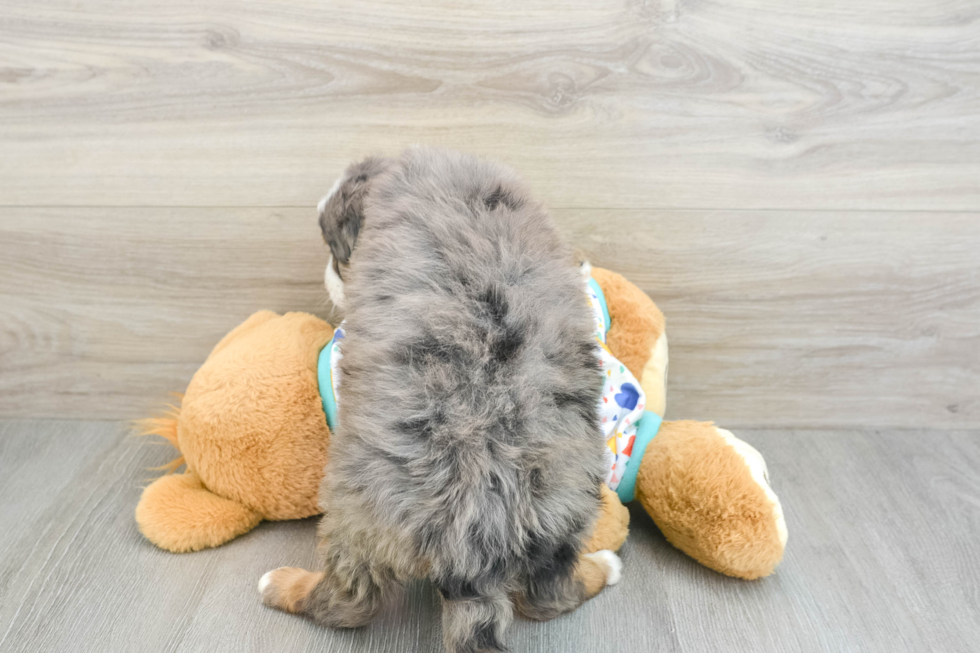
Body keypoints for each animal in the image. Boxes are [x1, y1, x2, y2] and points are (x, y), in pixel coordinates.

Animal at [260, 148, 620, 652]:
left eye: (336, 248)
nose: (329, 278)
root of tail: (477, 541)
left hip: (356, 518)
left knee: (347, 605)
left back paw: (282, 584)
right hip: (567, 511)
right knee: (549, 596)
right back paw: (602, 566)